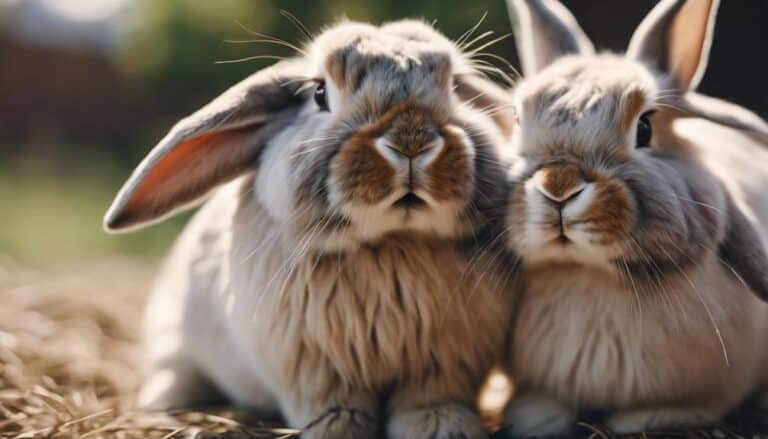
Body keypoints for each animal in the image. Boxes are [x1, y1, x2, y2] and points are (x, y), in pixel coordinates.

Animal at [103, 19, 517, 439]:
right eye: (320, 93)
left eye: (455, 88)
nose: (411, 141)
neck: (393, 243)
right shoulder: (315, 371)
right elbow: (335, 407)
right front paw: (338, 429)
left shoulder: (444, 364)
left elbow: (432, 399)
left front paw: (443, 426)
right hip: (175, 339)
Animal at [496, 0, 768, 436]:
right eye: (518, 122)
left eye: (644, 128)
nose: (559, 185)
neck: (588, 274)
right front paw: (534, 418)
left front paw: (640, 419)